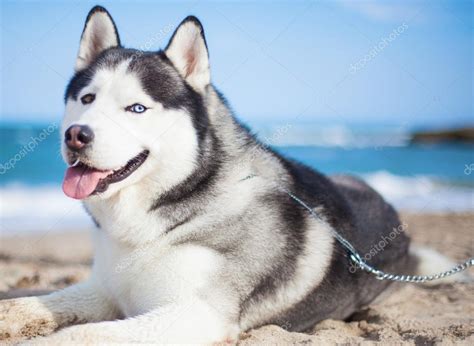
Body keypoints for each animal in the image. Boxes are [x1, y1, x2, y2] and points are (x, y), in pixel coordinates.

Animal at [0, 5, 454, 344]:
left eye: (137, 108)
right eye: (87, 99)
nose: (76, 135)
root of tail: (396, 217)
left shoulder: (197, 314)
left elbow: (81, 335)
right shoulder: (105, 288)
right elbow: (27, 303)